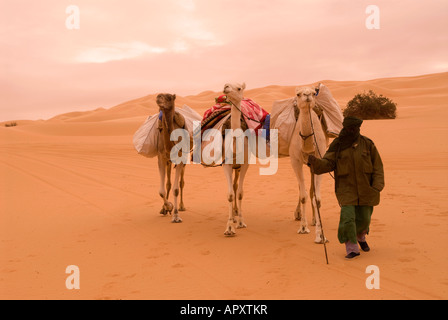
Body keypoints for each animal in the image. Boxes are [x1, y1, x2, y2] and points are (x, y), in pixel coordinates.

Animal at [288, 86, 328, 244]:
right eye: (298, 94)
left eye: (313, 93)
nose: (307, 96)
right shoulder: (295, 161)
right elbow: (304, 195)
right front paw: (303, 227)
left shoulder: (320, 161)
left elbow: (318, 198)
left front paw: (321, 235)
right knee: (302, 189)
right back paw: (299, 214)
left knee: (311, 190)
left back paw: (314, 219)